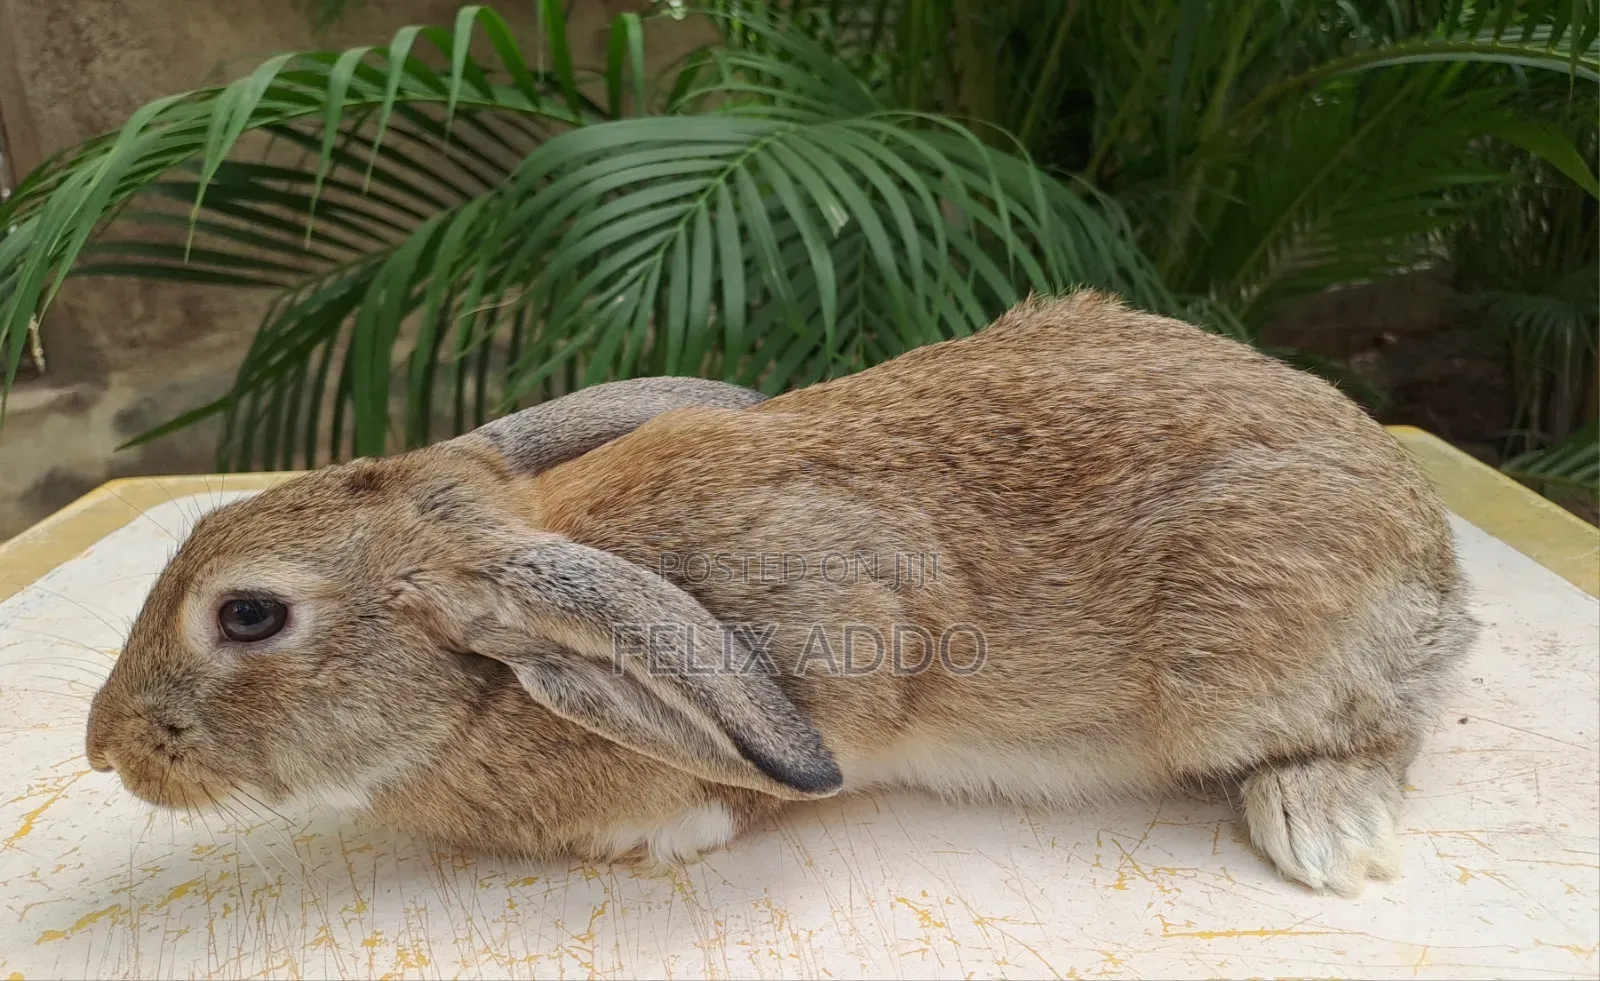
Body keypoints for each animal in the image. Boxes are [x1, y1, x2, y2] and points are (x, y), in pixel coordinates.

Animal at [85, 290, 1476, 897]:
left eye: (249, 614)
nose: (104, 748)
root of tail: (1431, 556)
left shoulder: (842, 636)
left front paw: (665, 832)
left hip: (1243, 655)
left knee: (1377, 729)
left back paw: (1322, 825)